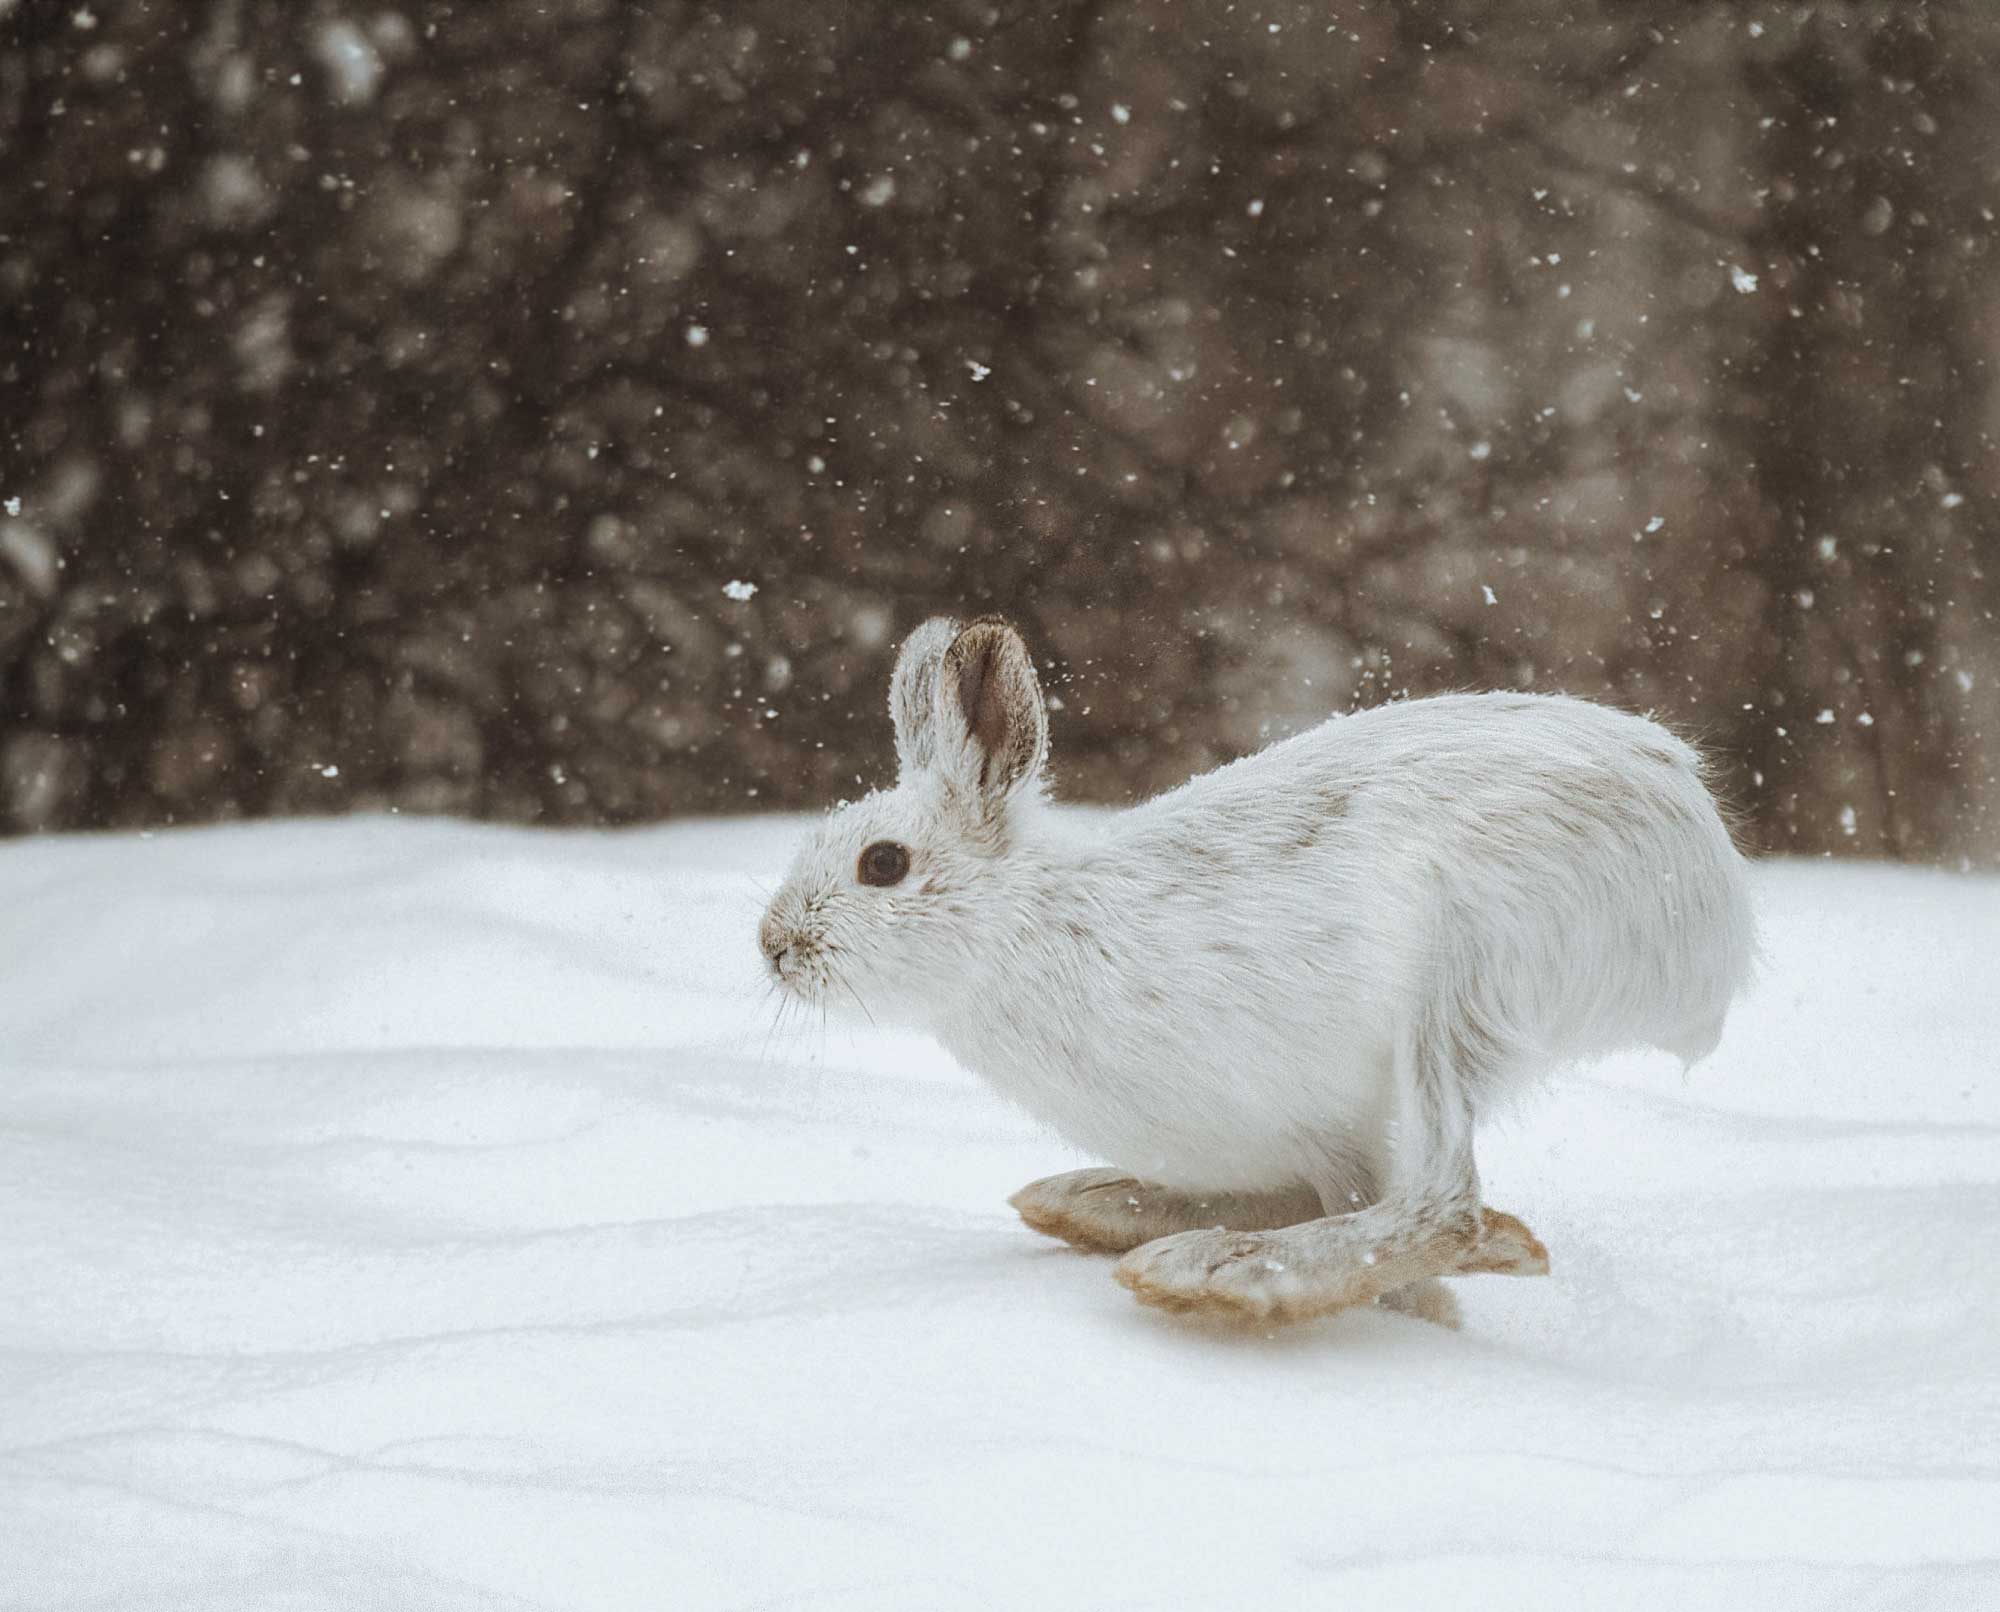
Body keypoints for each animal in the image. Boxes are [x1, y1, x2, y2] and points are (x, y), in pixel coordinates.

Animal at [757, 616, 1757, 1327]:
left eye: (883, 864)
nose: (773, 945)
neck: (1024, 924)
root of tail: (1709, 880)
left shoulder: (1325, 1123)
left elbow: (1374, 1217)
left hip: (1461, 978)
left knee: (1444, 1202)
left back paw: (1209, 1274)